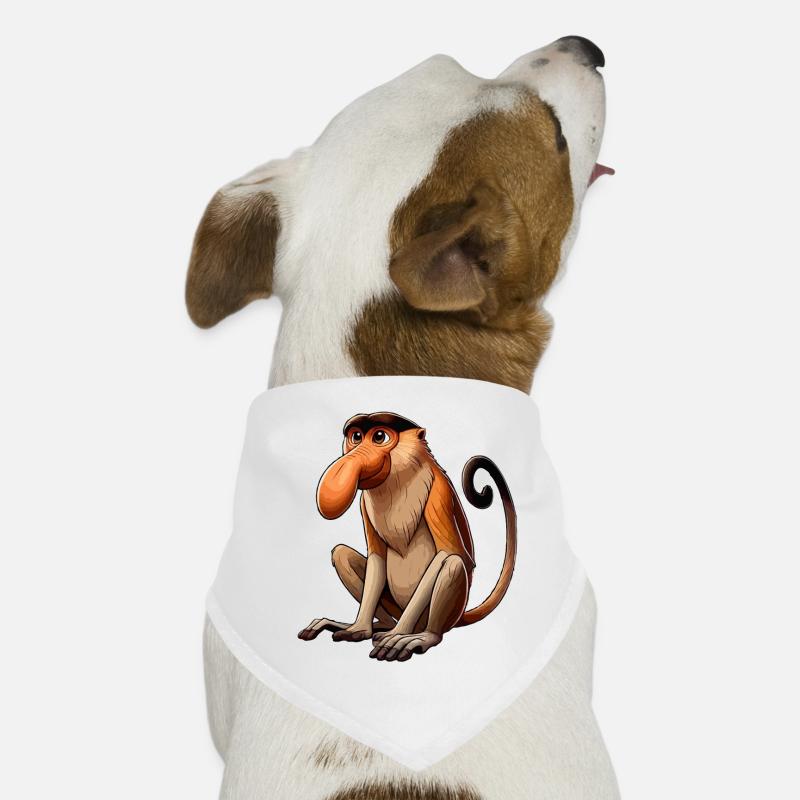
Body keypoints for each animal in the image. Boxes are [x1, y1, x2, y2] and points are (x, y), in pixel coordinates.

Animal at [298, 411, 517, 662]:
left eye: (379, 437)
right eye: (356, 437)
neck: (399, 478)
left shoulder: (439, 490)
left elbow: (450, 552)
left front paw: (399, 635)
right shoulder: (363, 502)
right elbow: (376, 556)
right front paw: (358, 628)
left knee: (452, 563)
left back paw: (424, 635)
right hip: (394, 605)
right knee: (341, 553)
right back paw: (373, 626)